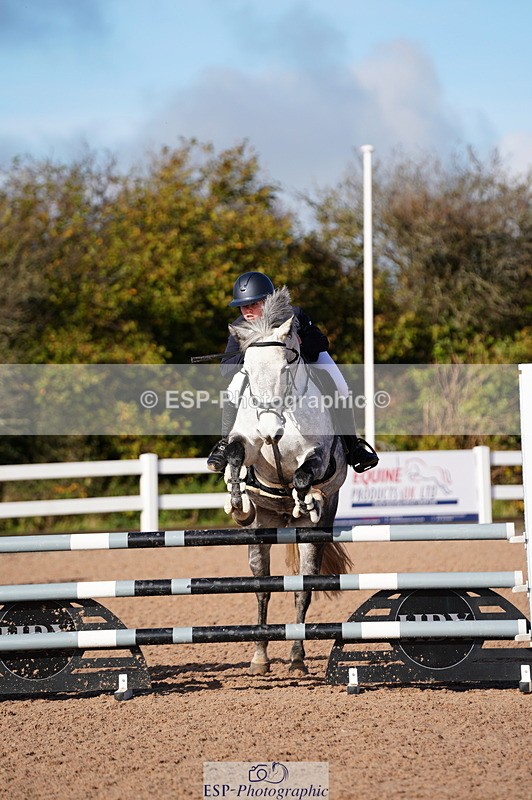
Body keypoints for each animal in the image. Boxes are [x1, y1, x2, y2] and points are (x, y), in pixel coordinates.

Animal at [222, 287, 352, 674]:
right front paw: (236, 500)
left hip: (317, 531)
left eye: (285, 367)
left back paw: (296, 657)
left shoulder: (319, 455)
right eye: (247, 371)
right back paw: (260, 656)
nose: (269, 432)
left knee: (302, 587)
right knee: (262, 587)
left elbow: (304, 473)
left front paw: (306, 499)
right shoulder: (246, 443)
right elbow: (236, 455)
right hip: (262, 526)